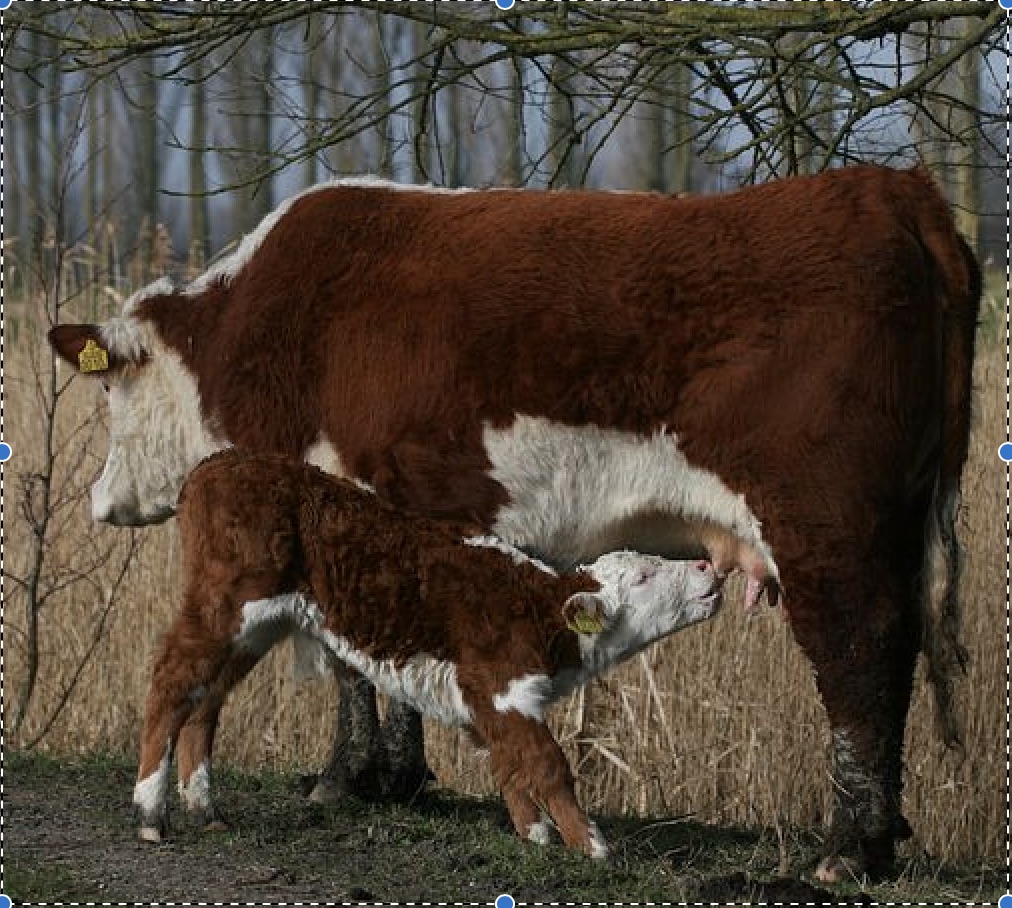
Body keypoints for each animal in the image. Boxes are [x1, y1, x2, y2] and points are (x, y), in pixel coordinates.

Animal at [134, 447, 724, 858]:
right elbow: (546, 764)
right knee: (172, 680)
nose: (705, 565)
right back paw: (149, 813)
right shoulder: (502, 688)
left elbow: (509, 765)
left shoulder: (488, 702)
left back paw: (204, 808)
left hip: (255, 625)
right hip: (225, 604)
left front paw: (535, 834)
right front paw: (591, 843)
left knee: (207, 696)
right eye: (645, 577)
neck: (536, 608)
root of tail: (216, 464)